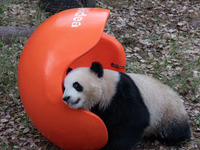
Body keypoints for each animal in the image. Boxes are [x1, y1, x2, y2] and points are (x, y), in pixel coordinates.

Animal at [62, 61, 191, 149]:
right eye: (64, 87)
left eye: (76, 85)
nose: (65, 98)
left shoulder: (121, 93)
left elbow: (136, 120)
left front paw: (114, 146)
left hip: (167, 112)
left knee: (174, 129)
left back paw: (177, 138)